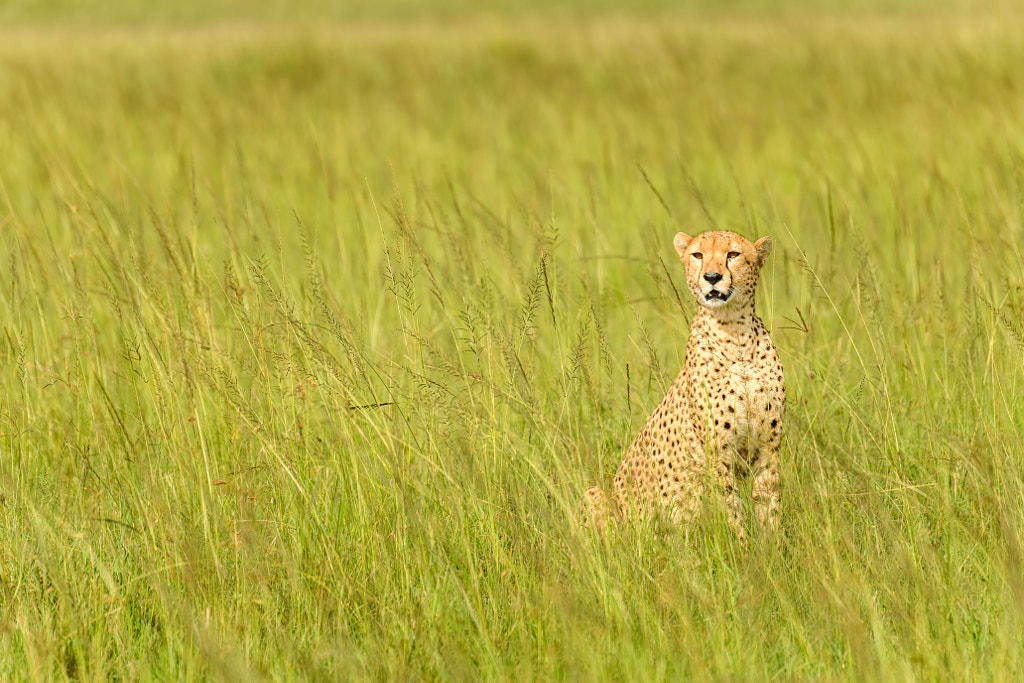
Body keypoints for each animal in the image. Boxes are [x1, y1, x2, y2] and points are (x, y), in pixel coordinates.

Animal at [585, 229, 782, 540]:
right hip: (598, 495)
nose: (712, 277)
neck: (735, 334)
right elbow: (732, 509)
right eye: (698, 254)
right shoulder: (718, 455)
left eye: (733, 254)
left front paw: (773, 547)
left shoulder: (768, 447)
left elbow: (768, 504)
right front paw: (743, 548)